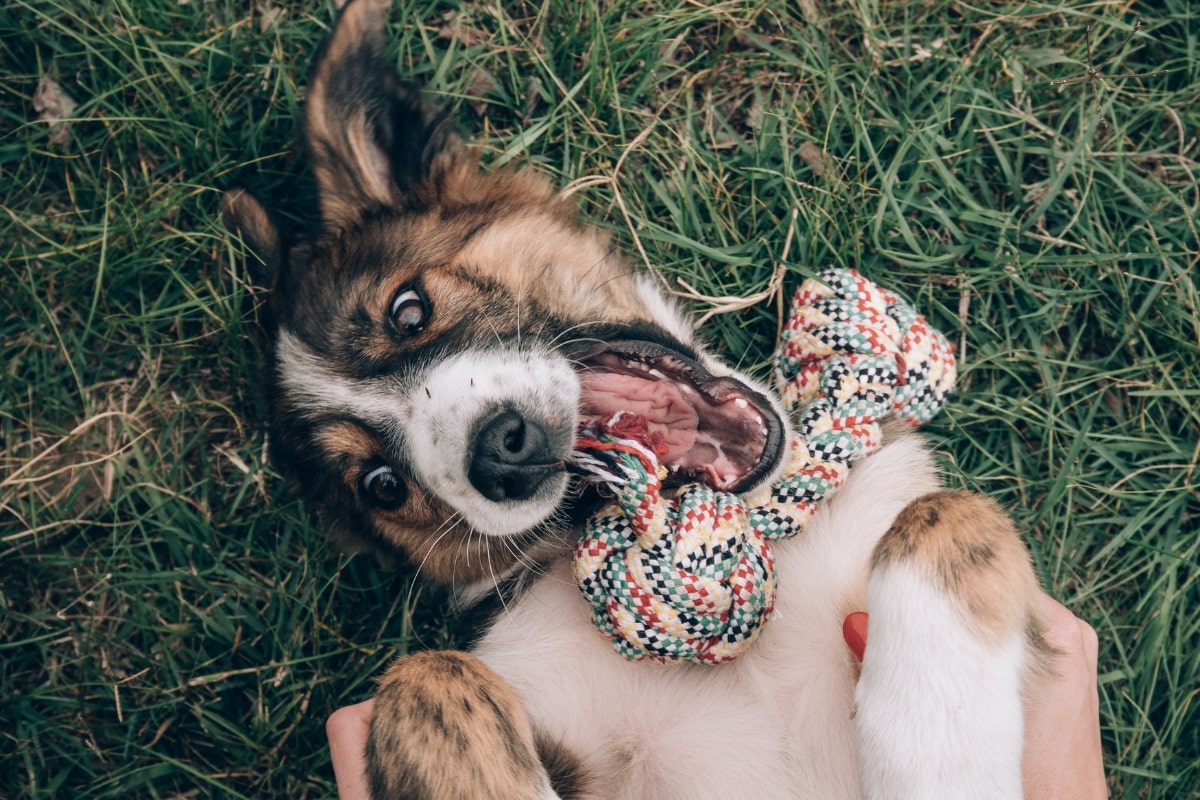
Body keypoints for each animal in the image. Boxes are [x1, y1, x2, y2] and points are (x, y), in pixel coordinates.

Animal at [223, 3, 1051, 796]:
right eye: (383, 487)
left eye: (408, 311)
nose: (503, 455)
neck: (757, 534)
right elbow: (424, 676)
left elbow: (949, 513)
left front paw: (941, 759)